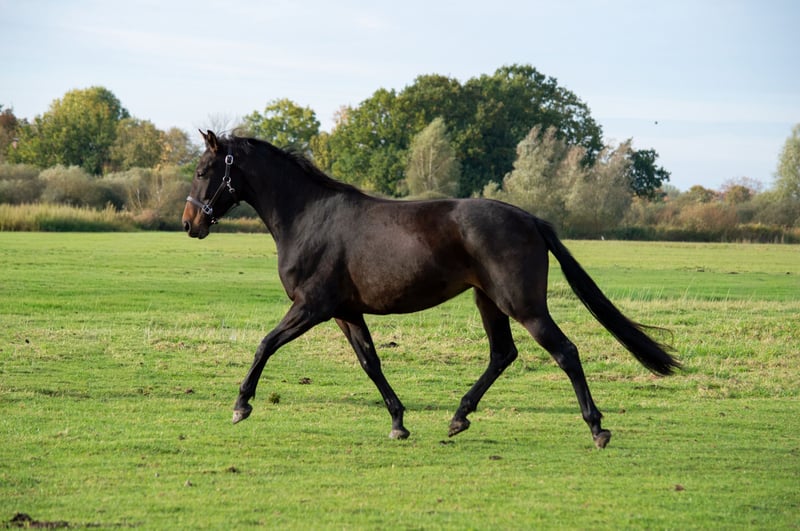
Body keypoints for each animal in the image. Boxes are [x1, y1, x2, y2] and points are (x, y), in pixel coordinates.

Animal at [182, 130, 679, 448]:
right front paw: (398, 422)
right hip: (488, 301)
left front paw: (241, 404)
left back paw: (597, 428)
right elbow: (371, 362)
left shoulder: (312, 306)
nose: (190, 223)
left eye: (205, 169)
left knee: (565, 352)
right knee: (503, 354)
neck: (309, 218)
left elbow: (265, 344)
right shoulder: (345, 312)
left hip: (523, 304)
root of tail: (529, 219)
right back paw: (459, 417)